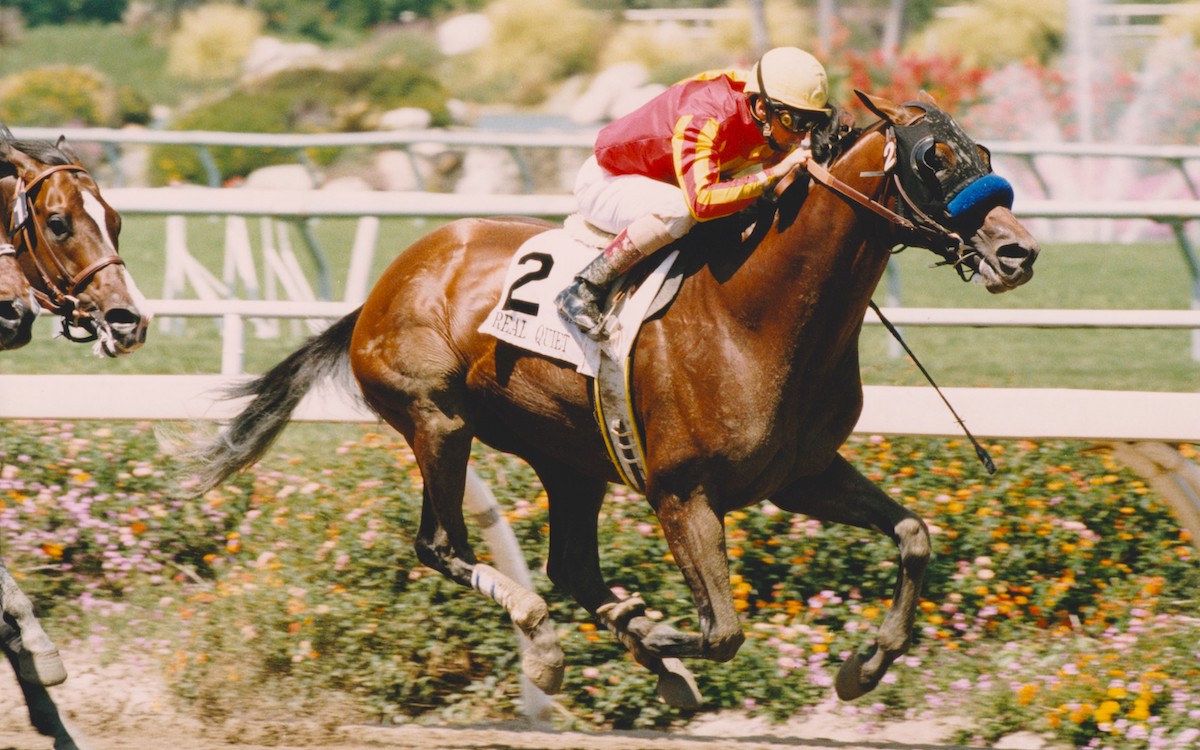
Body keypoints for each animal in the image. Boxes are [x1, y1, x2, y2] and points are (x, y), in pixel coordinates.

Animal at [182, 90, 1036, 705]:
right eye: (933, 158)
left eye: (985, 153)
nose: (1017, 251)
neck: (754, 314)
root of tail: (384, 286)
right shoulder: (682, 493)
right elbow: (722, 630)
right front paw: (654, 634)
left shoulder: (801, 476)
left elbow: (913, 535)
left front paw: (865, 665)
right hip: (438, 420)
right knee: (442, 544)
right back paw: (547, 645)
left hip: (569, 458)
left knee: (570, 567)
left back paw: (642, 661)